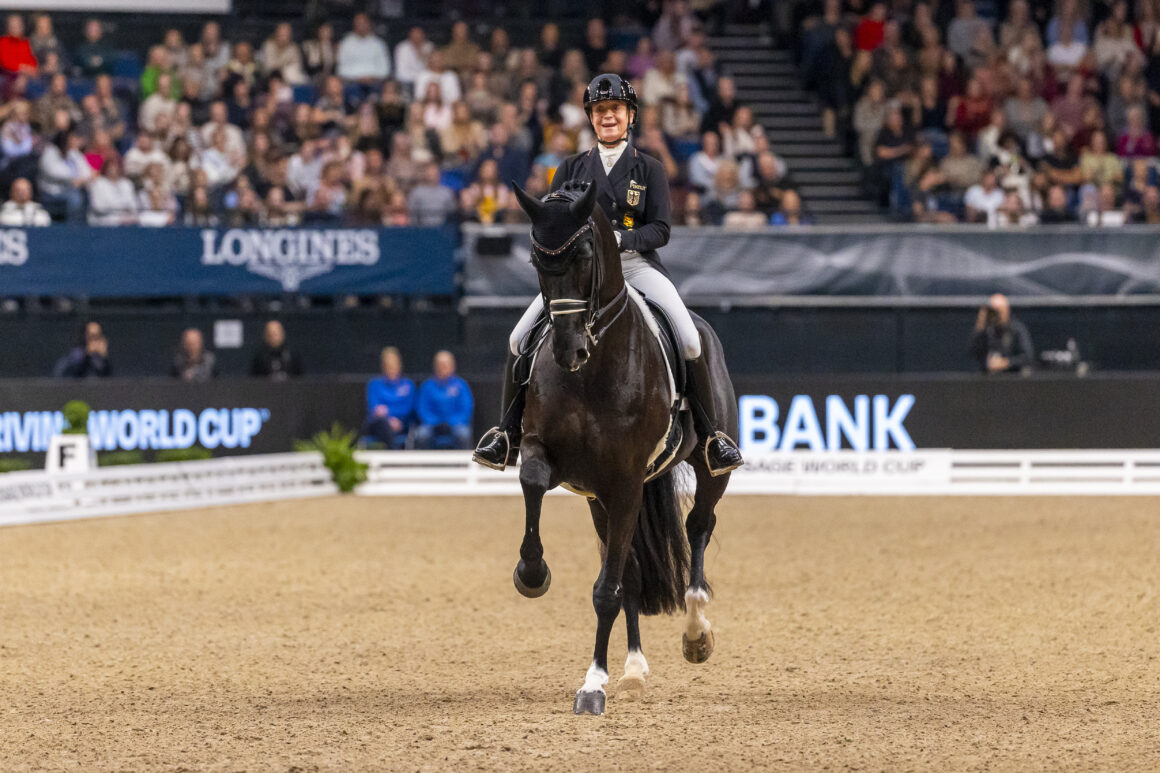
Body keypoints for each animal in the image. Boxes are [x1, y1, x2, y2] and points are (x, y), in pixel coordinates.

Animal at [508, 178, 733, 710]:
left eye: (586, 255)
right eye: (535, 257)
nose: (569, 350)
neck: (592, 370)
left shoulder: (627, 480)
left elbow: (606, 590)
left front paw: (592, 686)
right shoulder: (562, 463)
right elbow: (532, 481)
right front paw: (532, 574)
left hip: (706, 470)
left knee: (698, 527)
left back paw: (696, 633)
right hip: (600, 500)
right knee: (629, 569)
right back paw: (632, 669)